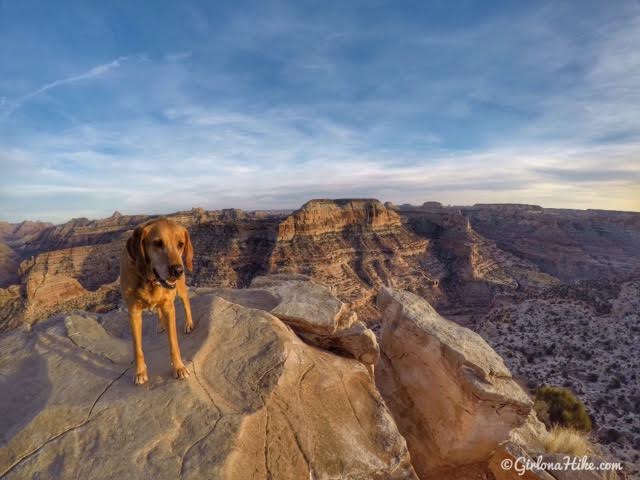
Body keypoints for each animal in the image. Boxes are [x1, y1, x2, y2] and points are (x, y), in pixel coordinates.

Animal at [120, 218, 195, 386]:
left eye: (181, 244)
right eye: (157, 243)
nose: (177, 270)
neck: (149, 280)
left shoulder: (169, 307)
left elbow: (173, 343)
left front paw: (179, 368)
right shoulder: (133, 313)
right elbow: (137, 347)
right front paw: (140, 372)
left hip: (180, 288)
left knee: (186, 302)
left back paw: (189, 323)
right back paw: (161, 325)